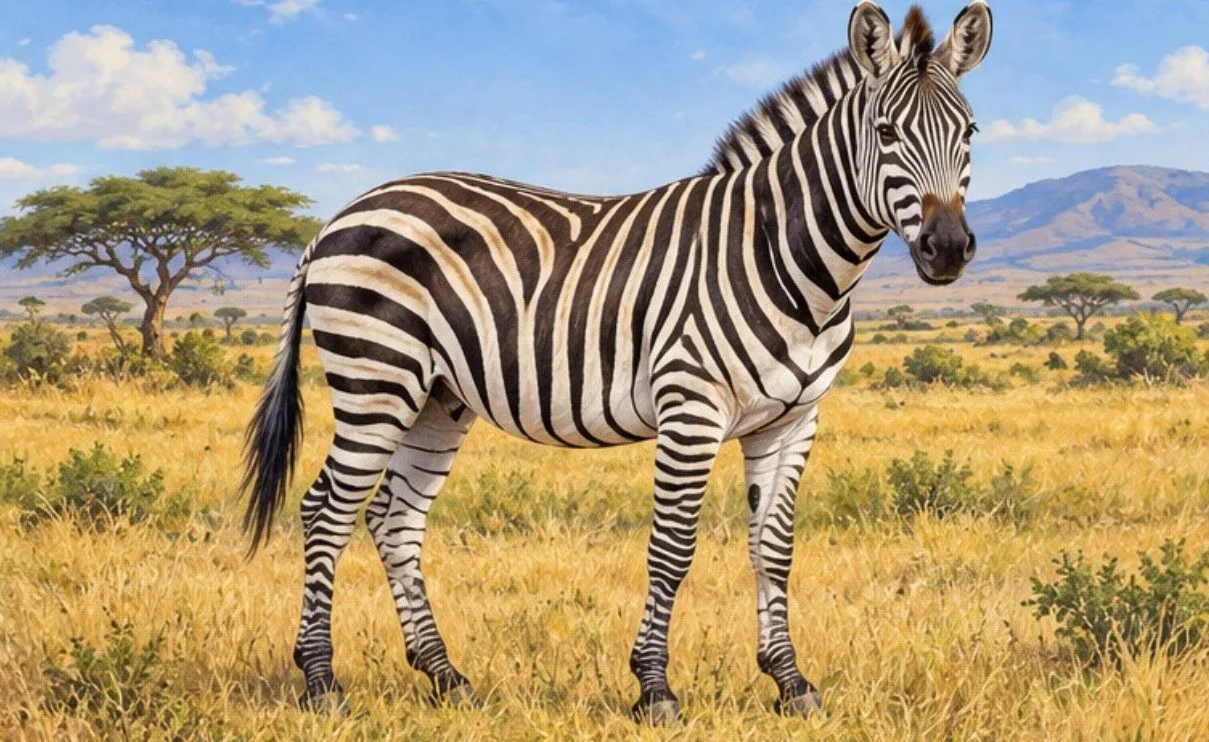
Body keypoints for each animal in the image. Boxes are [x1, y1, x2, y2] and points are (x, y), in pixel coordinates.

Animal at [242, 0, 992, 723]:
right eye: (887, 133)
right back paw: (321, 682)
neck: (789, 258)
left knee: (392, 519)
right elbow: (672, 548)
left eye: (970, 134)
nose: (948, 249)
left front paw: (790, 682)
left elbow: (773, 549)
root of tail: (335, 218)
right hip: (376, 379)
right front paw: (655, 689)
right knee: (325, 511)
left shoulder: (792, 419)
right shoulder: (691, 408)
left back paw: (446, 677)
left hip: (436, 398)